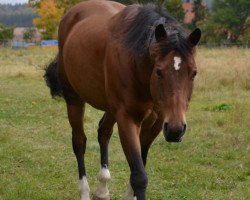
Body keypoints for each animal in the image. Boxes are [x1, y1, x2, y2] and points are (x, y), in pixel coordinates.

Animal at [44, 0, 201, 200]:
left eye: (193, 73)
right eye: (159, 71)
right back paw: (85, 192)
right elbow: (139, 176)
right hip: (74, 101)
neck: (136, 65)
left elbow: (141, 163)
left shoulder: (156, 123)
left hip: (111, 109)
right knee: (79, 142)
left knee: (103, 132)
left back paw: (102, 189)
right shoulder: (127, 119)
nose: (175, 130)